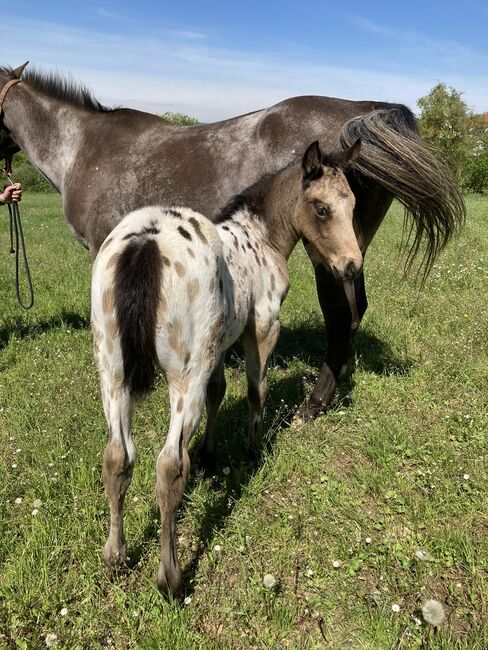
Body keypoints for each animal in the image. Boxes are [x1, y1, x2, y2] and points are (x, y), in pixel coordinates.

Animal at [0, 63, 466, 418]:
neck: (83, 147)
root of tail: (365, 113)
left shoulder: (106, 249)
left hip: (329, 256)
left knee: (339, 318)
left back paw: (314, 403)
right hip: (350, 253)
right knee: (355, 313)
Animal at [90, 139, 362, 596]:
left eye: (355, 204)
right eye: (322, 208)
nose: (352, 265)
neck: (261, 235)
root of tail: (146, 243)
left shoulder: (217, 345)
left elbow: (219, 391)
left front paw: (210, 455)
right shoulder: (263, 327)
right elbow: (256, 389)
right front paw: (253, 450)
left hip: (112, 370)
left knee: (117, 456)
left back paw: (115, 556)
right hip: (184, 376)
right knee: (168, 466)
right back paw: (170, 577)